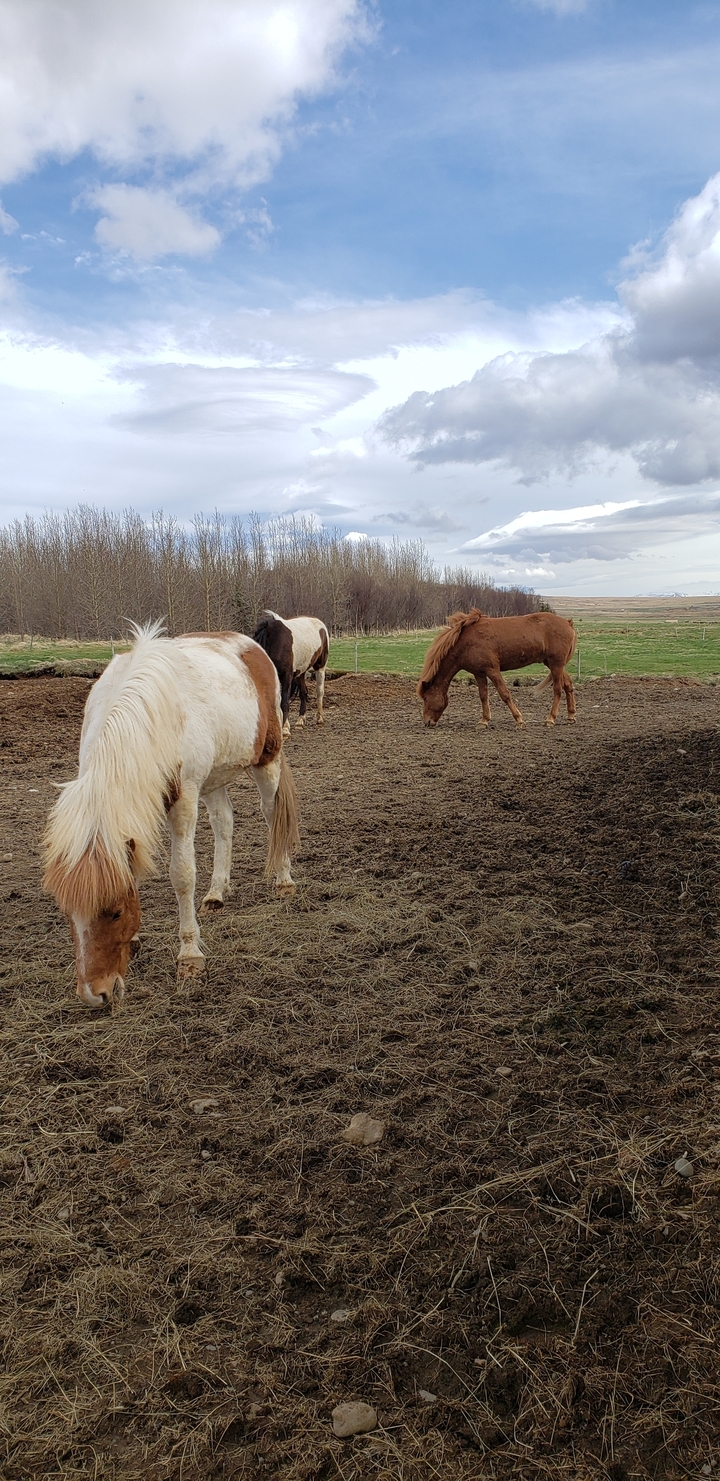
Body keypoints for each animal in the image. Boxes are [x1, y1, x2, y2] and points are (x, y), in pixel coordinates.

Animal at [43, 623, 300, 1008]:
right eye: (67, 914)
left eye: (115, 912)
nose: (94, 994)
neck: (149, 716)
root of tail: (249, 646)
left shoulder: (185, 799)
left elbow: (182, 876)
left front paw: (190, 957)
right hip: (214, 778)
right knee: (224, 823)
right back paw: (216, 892)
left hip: (265, 761)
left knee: (271, 816)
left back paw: (283, 881)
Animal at [418, 608, 577, 729]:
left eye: (425, 698)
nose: (427, 722)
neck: (465, 643)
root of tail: (568, 623)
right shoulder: (479, 673)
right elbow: (483, 696)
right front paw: (484, 721)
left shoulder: (492, 670)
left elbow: (504, 694)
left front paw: (519, 720)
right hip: (554, 664)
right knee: (568, 685)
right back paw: (570, 716)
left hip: (556, 664)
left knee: (557, 689)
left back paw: (550, 719)